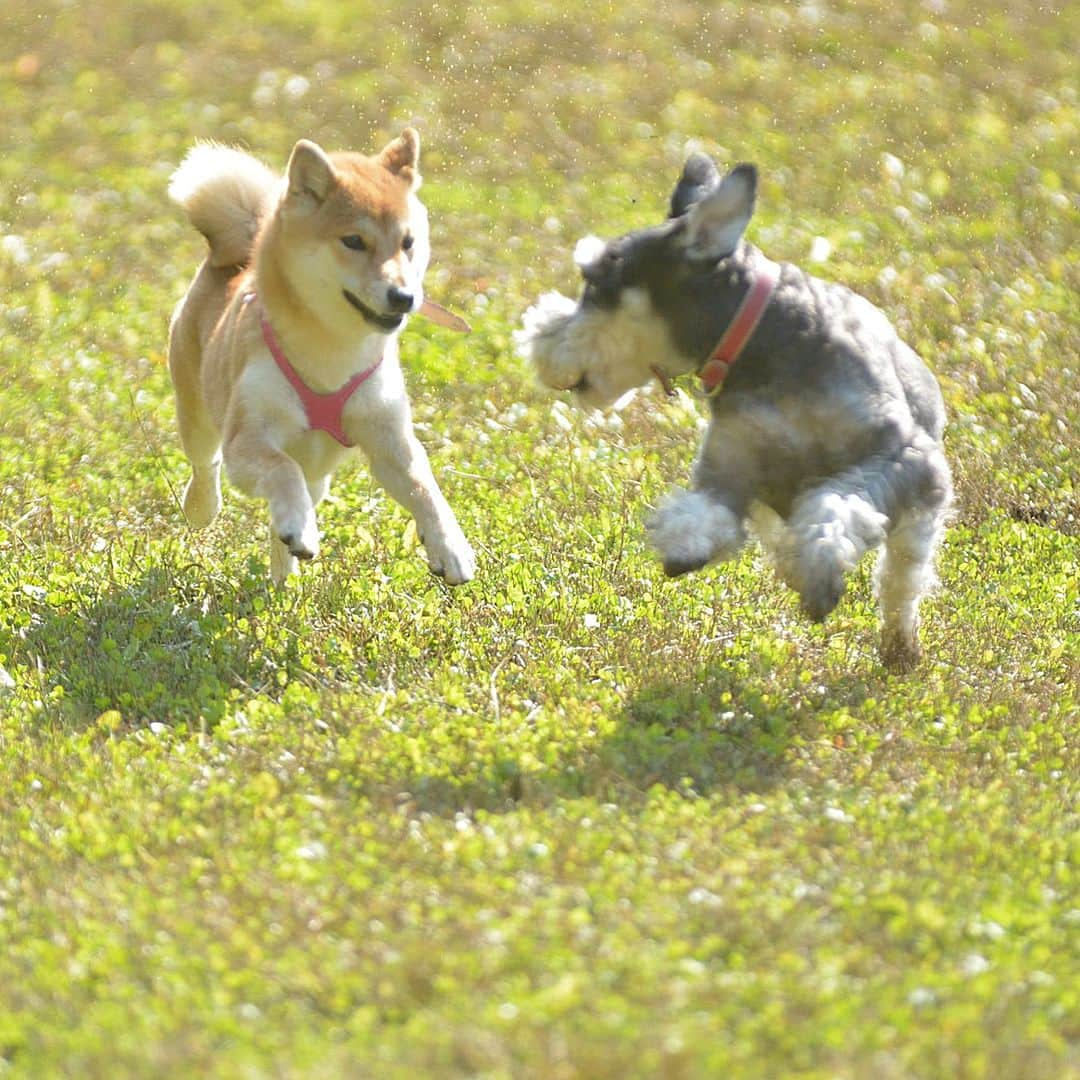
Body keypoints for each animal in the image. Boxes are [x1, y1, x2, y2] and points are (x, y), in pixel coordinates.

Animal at [167, 130, 473, 587]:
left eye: (408, 243)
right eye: (354, 241)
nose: (404, 296)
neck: (332, 349)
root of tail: (232, 255)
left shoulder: (389, 438)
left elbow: (426, 489)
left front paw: (451, 547)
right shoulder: (249, 437)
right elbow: (281, 469)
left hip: (319, 475)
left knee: (290, 510)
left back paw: (285, 571)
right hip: (198, 414)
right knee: (208, 465)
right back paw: (207, 509)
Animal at [518, 151, 950, 665]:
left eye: (599, 285)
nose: (537, 343)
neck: (762, 343)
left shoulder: (903, 454)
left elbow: (836, 500)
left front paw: (821, 567)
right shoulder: (731, 468)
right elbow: (706, 511)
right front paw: (685, 548)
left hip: (918, 515)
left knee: (902, 578)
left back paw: (900, 646)